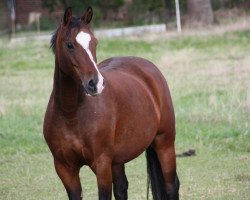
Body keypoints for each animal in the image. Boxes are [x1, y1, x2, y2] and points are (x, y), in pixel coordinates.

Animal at [43, 6, 180, 200]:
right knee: (122, 189)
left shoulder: (102, 165)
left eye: (94, 42)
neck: (71, 114)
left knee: (171, 186)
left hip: (164, 143)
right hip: (118, 161)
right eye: (69, 45)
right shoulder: (65, 168)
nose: (96, 83)